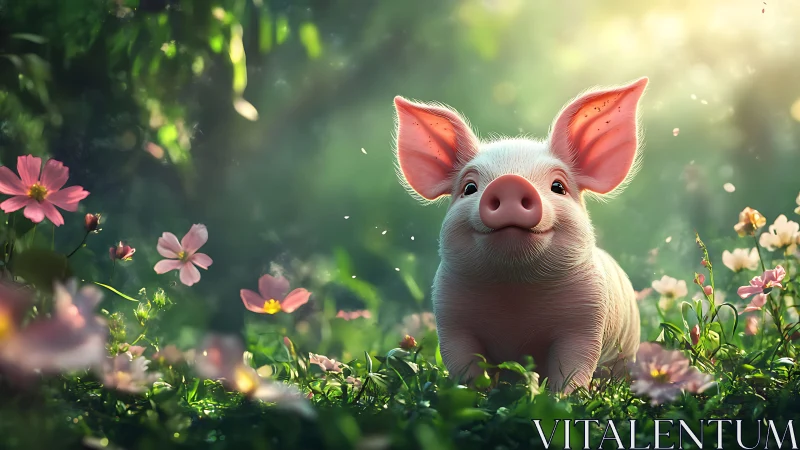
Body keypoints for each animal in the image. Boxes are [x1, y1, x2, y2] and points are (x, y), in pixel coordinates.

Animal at [391, 78, 647, 393]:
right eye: (469, 188)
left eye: (558, 186)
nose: (510, 182)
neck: (515, 293)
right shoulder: (450, 318)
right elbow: (464, 365)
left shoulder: (587, 317)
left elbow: (574, 366)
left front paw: (563, 397)